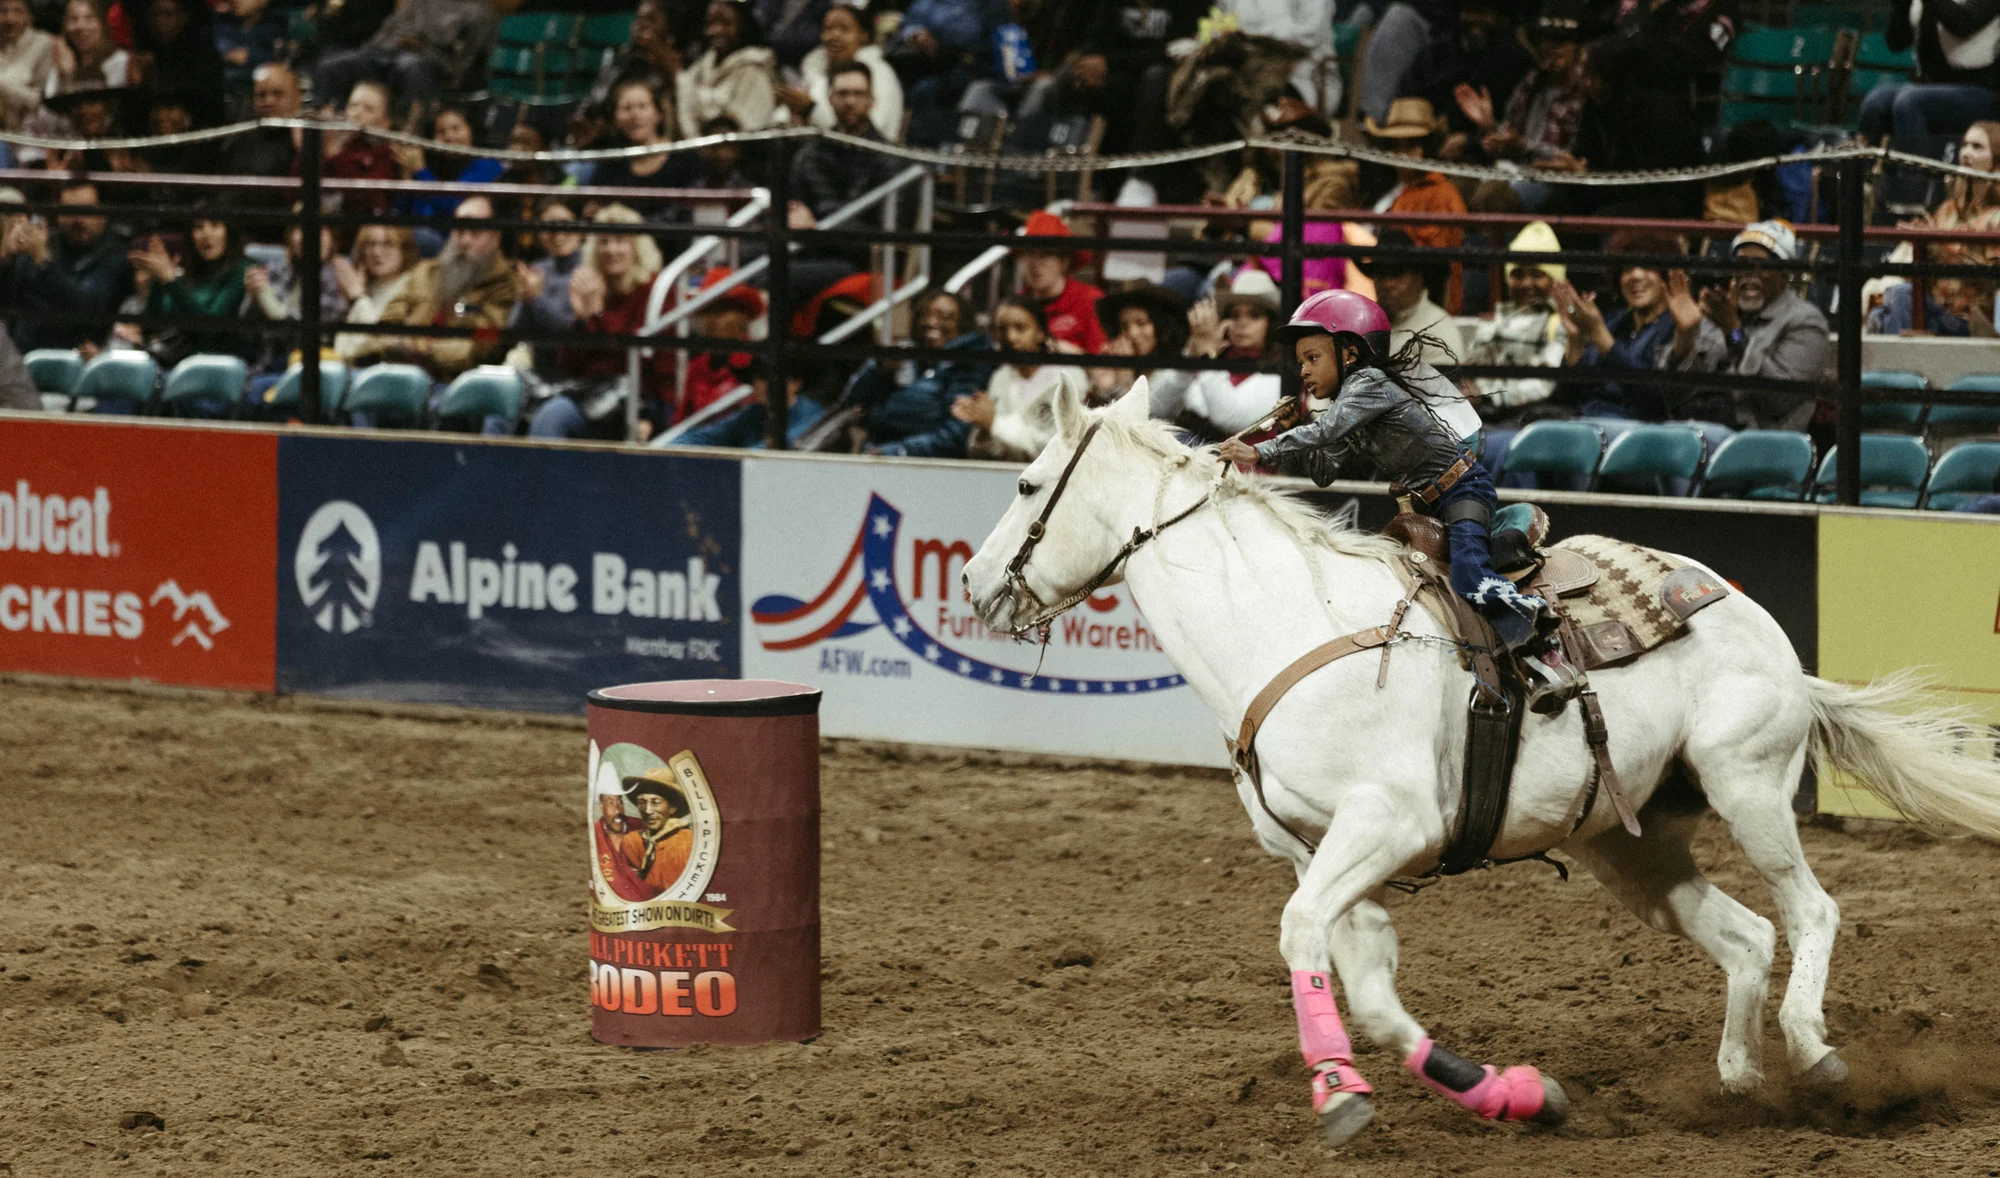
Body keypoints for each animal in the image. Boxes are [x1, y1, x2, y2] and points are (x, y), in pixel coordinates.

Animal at [956, 382, 2000, 1144]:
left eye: (1027, 483)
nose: (970, 581)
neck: (1282, 627)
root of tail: (1753, 620)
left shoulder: (1384, 826)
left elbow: (1300, 938)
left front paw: (1337, 1096)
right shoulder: (1326, 856)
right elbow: (1372, 994)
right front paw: (1514, 1095)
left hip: (1747, 785)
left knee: (1811, 909)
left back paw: (1815, 1057)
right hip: (1630, 845)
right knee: (1745, 936)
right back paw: (1739, 1081)